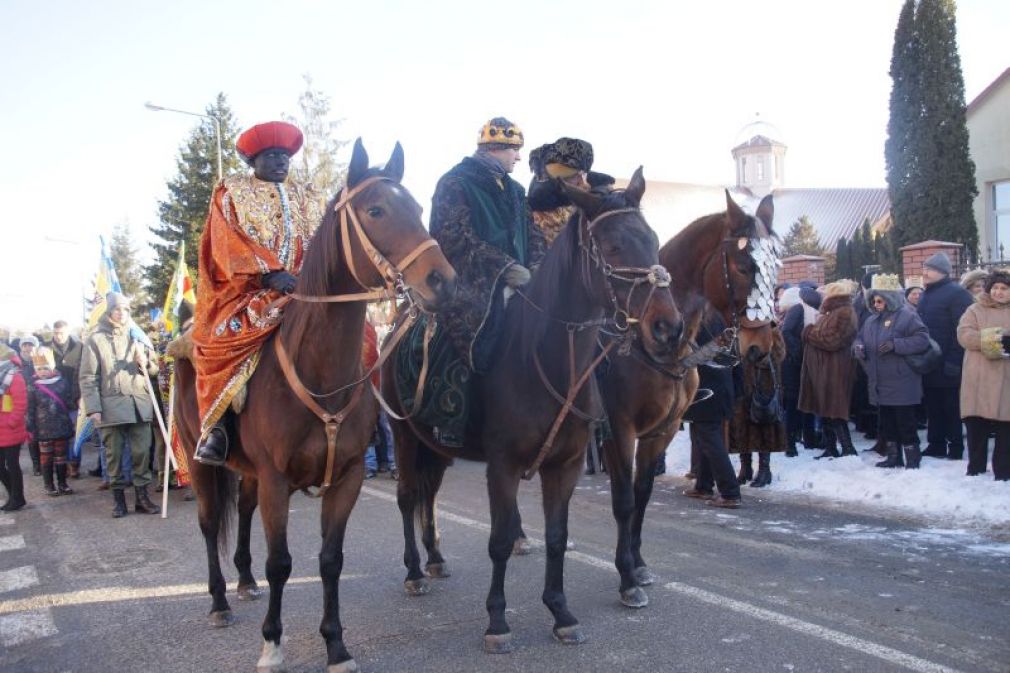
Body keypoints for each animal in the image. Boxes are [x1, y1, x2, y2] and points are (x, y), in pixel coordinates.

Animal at [174, 140, 458, 670]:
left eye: (417, 207)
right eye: (375, 209)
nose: (444, 282)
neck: (321, 374)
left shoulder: (344, 477)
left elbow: (330, 561)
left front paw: (336, 644)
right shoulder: (276, 480)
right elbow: (281, 563)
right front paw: (272, 642)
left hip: (248, 473)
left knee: (242, 512)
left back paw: (244, 581)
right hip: (200, 460)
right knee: (208, 522)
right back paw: (220, 600)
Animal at [381, 168, 682, 650]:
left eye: (652, 240)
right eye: (613, 246)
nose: (668, 328)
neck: (543, 357)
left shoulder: (567, 463)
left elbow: (557, 537)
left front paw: (561, 612)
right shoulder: (502, 465)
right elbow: (500, 540)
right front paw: (497, 621)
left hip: (438, 447)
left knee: (429, 494)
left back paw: (436, 557)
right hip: (404, 436)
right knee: (409, 496)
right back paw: (413, 571)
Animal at [593, 189, 775, 606]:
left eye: (776, 265)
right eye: (744, 267)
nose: (760, 347)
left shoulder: (662, 429)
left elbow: (642, 493)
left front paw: (638, 564)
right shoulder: (619, 429)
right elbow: (623, 499)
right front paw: (626, 576)